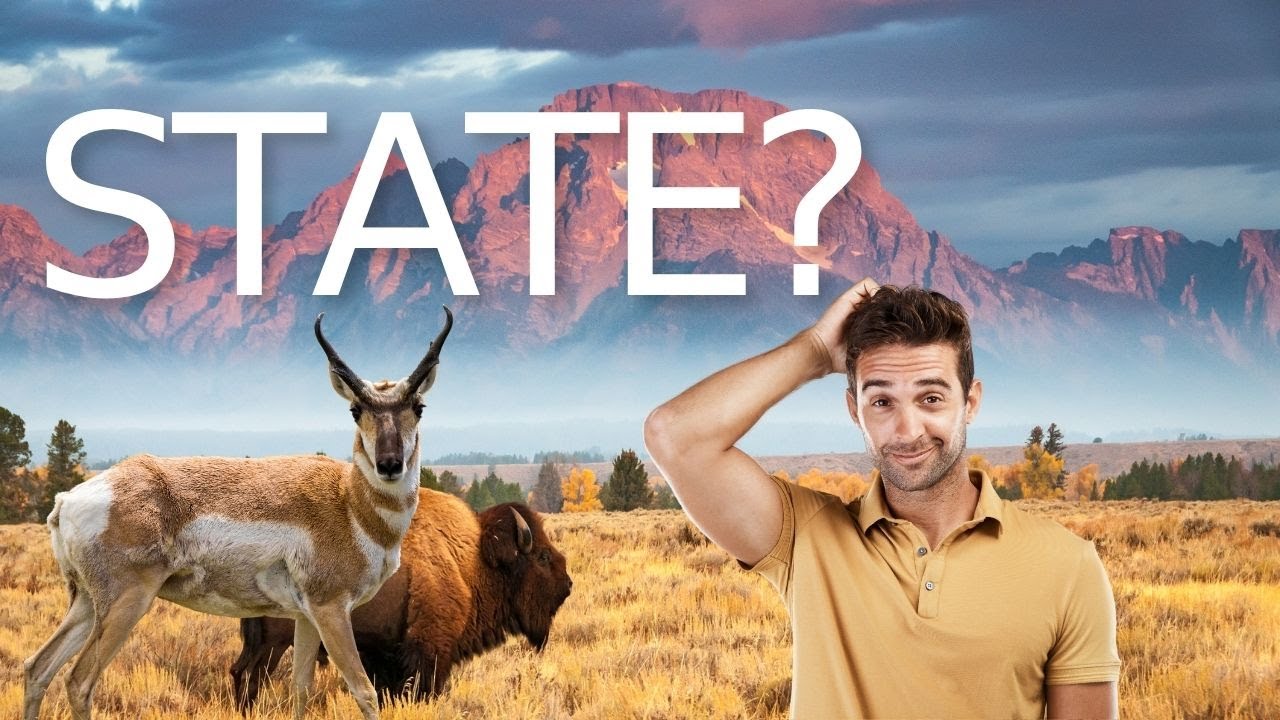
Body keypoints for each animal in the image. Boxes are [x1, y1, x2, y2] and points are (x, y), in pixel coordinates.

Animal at [22, 307, 453, 720]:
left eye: (418, 406)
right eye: (355, 409)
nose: (389, 464)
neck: (349, 503)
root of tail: (67, 500)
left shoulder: (306, 616)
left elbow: (300, 690)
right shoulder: (331, 609)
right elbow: (364, 691)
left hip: (85, 603)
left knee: (37, 667)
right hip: (126, 603)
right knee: (79, 682)